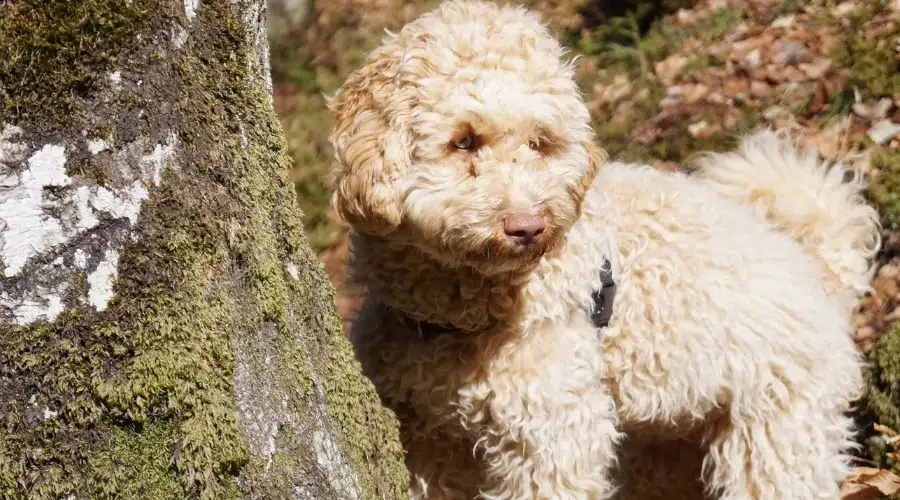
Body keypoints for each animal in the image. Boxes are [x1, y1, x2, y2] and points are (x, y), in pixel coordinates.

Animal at [326, 1, 884, 498]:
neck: (456, 318)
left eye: (539, 142)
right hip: (665, 451)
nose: (528, 227)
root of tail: (819, 275)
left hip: (775, 437)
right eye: (463, 141)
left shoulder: (552, 434)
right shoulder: (427, 433)